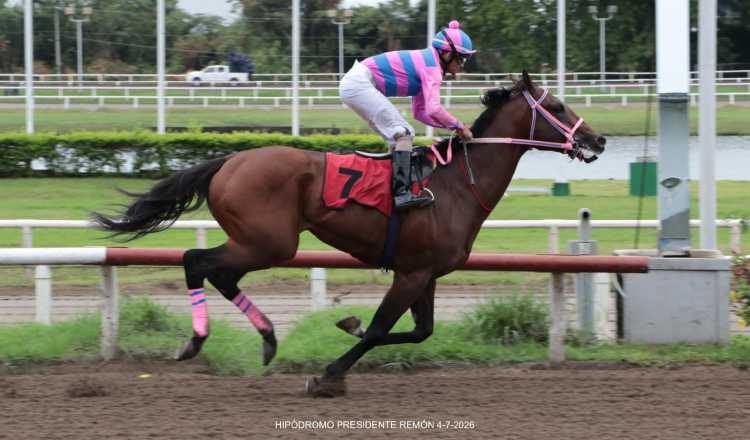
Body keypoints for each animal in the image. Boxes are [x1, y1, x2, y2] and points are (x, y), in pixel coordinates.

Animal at [92, 72, 605, 397]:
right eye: (557, 106)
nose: (597, 139)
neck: (458, 184)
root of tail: (229, 160)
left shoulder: (425, 273)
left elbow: (419, 332)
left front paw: (346, 325)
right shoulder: (411, 273)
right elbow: (380, 329)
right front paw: (329, 375)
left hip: (262, 242)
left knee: (216, 273)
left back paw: (267, 338)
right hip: (271, 242)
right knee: (197, 262)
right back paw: (198, 341)